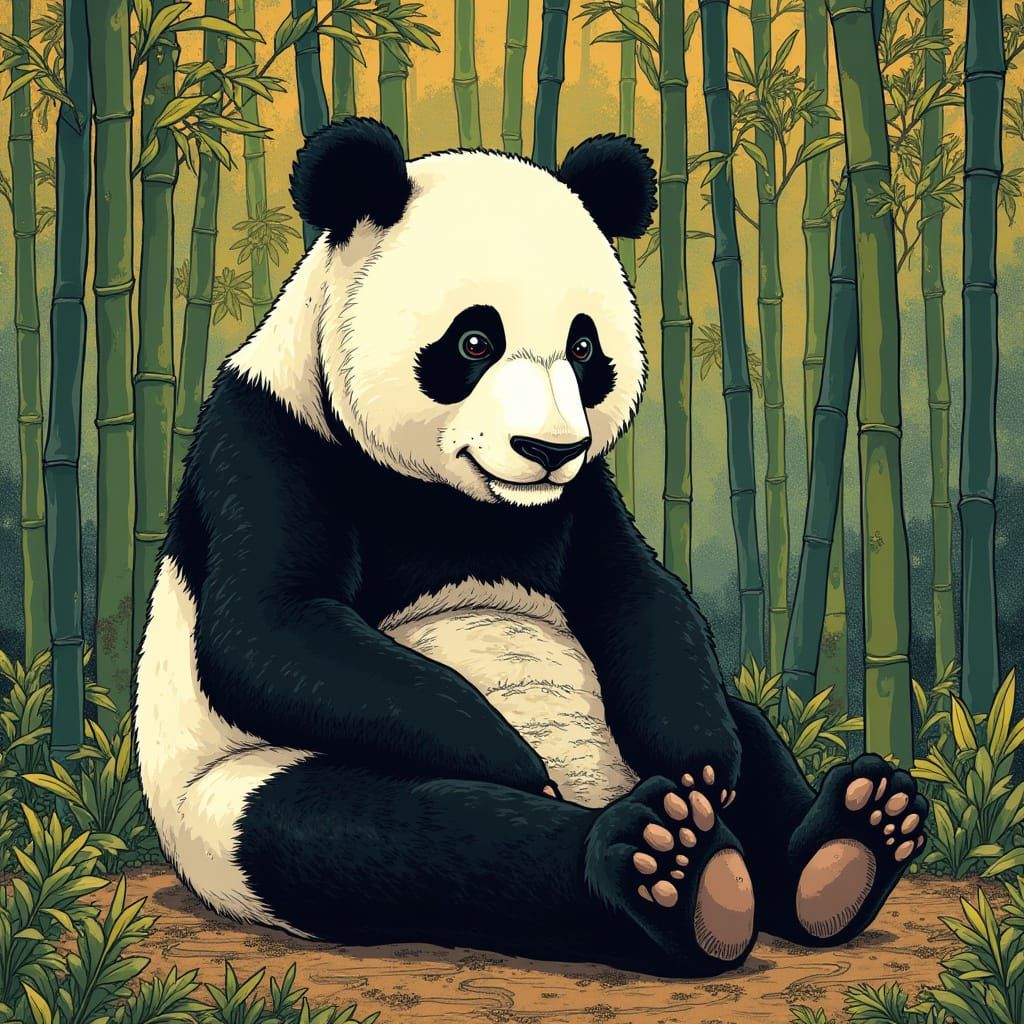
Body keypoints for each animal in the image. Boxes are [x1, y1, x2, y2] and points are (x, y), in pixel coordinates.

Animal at [135, 118, 929, 977]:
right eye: (474, 340)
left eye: (585, 349)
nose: (548, 449)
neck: (466, 503)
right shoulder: (267, 441)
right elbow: (269, 628)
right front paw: (509, 758)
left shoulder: (584, 495)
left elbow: (642, 597)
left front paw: (701, 762)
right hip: (235, 797)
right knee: (385, 835)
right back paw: (667, 867)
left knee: (745, 726)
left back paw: (845, 843)